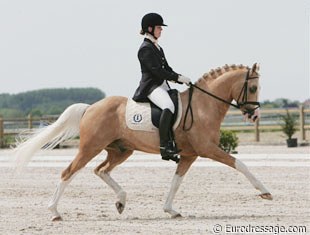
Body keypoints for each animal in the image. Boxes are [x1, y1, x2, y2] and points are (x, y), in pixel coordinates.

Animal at [13, 63, 272, 220]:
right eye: (252, 87)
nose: (255, 116)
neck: (202, 106)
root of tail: (90, 108)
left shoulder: (189, 155)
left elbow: (176, 182)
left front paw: (170, 210)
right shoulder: (208, 149)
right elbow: (240, 165)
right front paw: (265, 192)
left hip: (120, 150)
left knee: (101, 170)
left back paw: (121, 201)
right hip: (90, 147)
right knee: (68, 172)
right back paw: (54, 212)